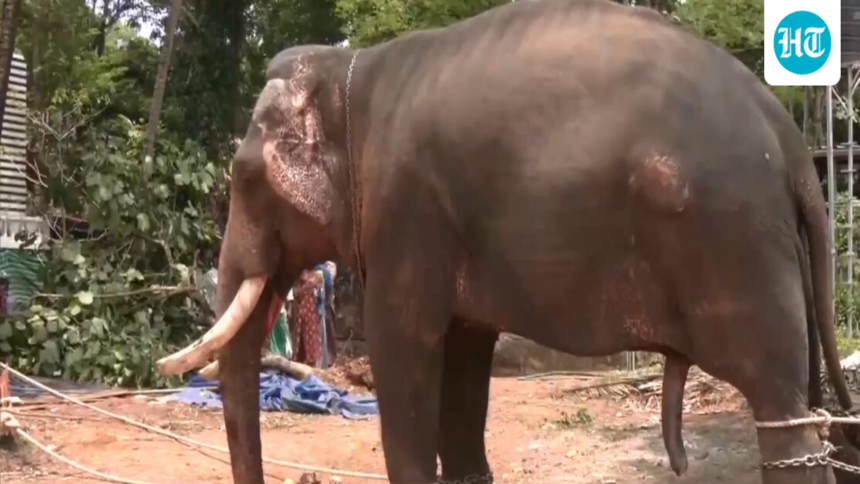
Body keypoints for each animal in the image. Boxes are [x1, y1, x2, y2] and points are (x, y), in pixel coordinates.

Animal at [155, 0, 858, 483]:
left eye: (246, 178)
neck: (352, 73)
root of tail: (788, 136)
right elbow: (466, 355)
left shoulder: (406, 214)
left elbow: (403, 348)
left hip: (733, 244)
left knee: (780, 411)